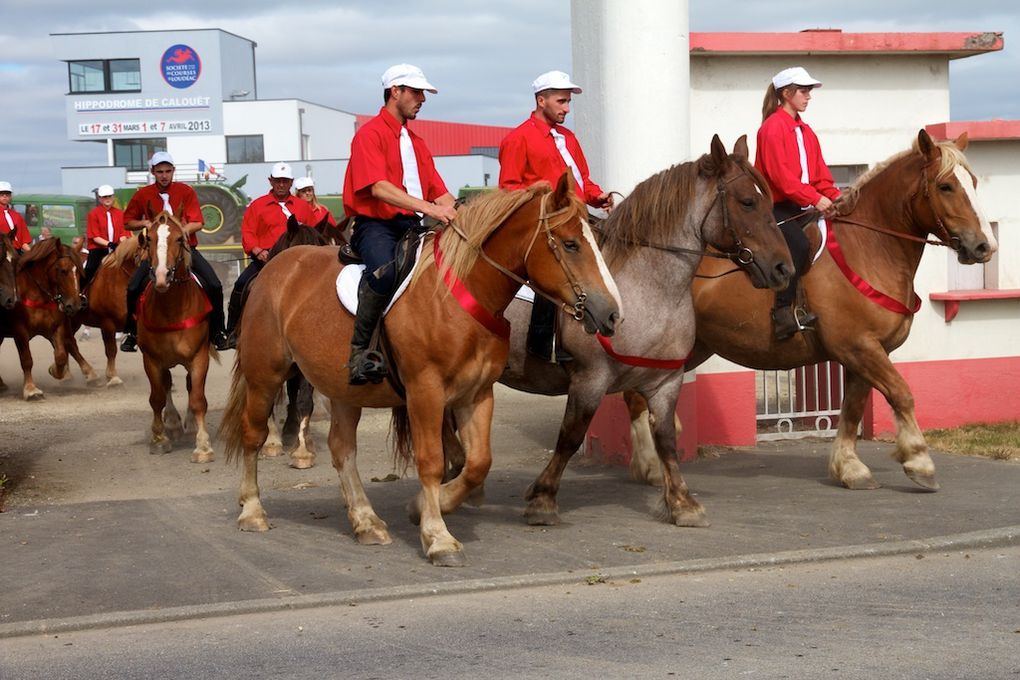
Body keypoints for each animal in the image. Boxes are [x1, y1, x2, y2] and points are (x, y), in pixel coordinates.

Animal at [0, 238, 84, 399]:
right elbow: (26, 359)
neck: (37, 295)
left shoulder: (57, 327)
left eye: (79, 272)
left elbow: (61, 355)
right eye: (63, 271)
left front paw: (56, 371)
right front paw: (30, 389)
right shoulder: (19, 331)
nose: (75, 305)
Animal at [135, 213, 217, 462]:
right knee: (167, 384)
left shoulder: (199, 356)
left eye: (180, 239)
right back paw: (171, 424)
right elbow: (157, 398)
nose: (162, 276)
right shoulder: (151, 359)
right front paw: (159, 439)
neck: (172, 309)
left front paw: (203, 446)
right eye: (149, 238)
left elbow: (198, 398)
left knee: (189, 385)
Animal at [223, 173, 620, 566]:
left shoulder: (477, 393)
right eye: (570, 244)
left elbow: (478, 462)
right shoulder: (425, 392)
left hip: (344, 389)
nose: (612, 313)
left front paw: (429, 506)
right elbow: (432, 461)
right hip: (264, 376)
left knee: (342, 448)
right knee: (253, 435)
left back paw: (366, 521)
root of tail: (276, 267)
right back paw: (253, 511)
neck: (458, 295)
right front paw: (438, 536)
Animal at [489, 134, 791, 526]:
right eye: (747, 201)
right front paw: (542, 498)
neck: (644, 288)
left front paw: (682, 502)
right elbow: (571, 435)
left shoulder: (666, 381)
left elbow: (666, 438)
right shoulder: (590, 379)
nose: (784, 268)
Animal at [620, 131, 995, 505]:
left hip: (696, 346)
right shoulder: (859, 347)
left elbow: (853, 407)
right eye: (946, 186)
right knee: (636, 396)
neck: (868, 248)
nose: (983, 247)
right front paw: (919, 462)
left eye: (974, 183)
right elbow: (901, 393)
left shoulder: (867, 352)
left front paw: (850, 468)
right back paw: (651, 467)